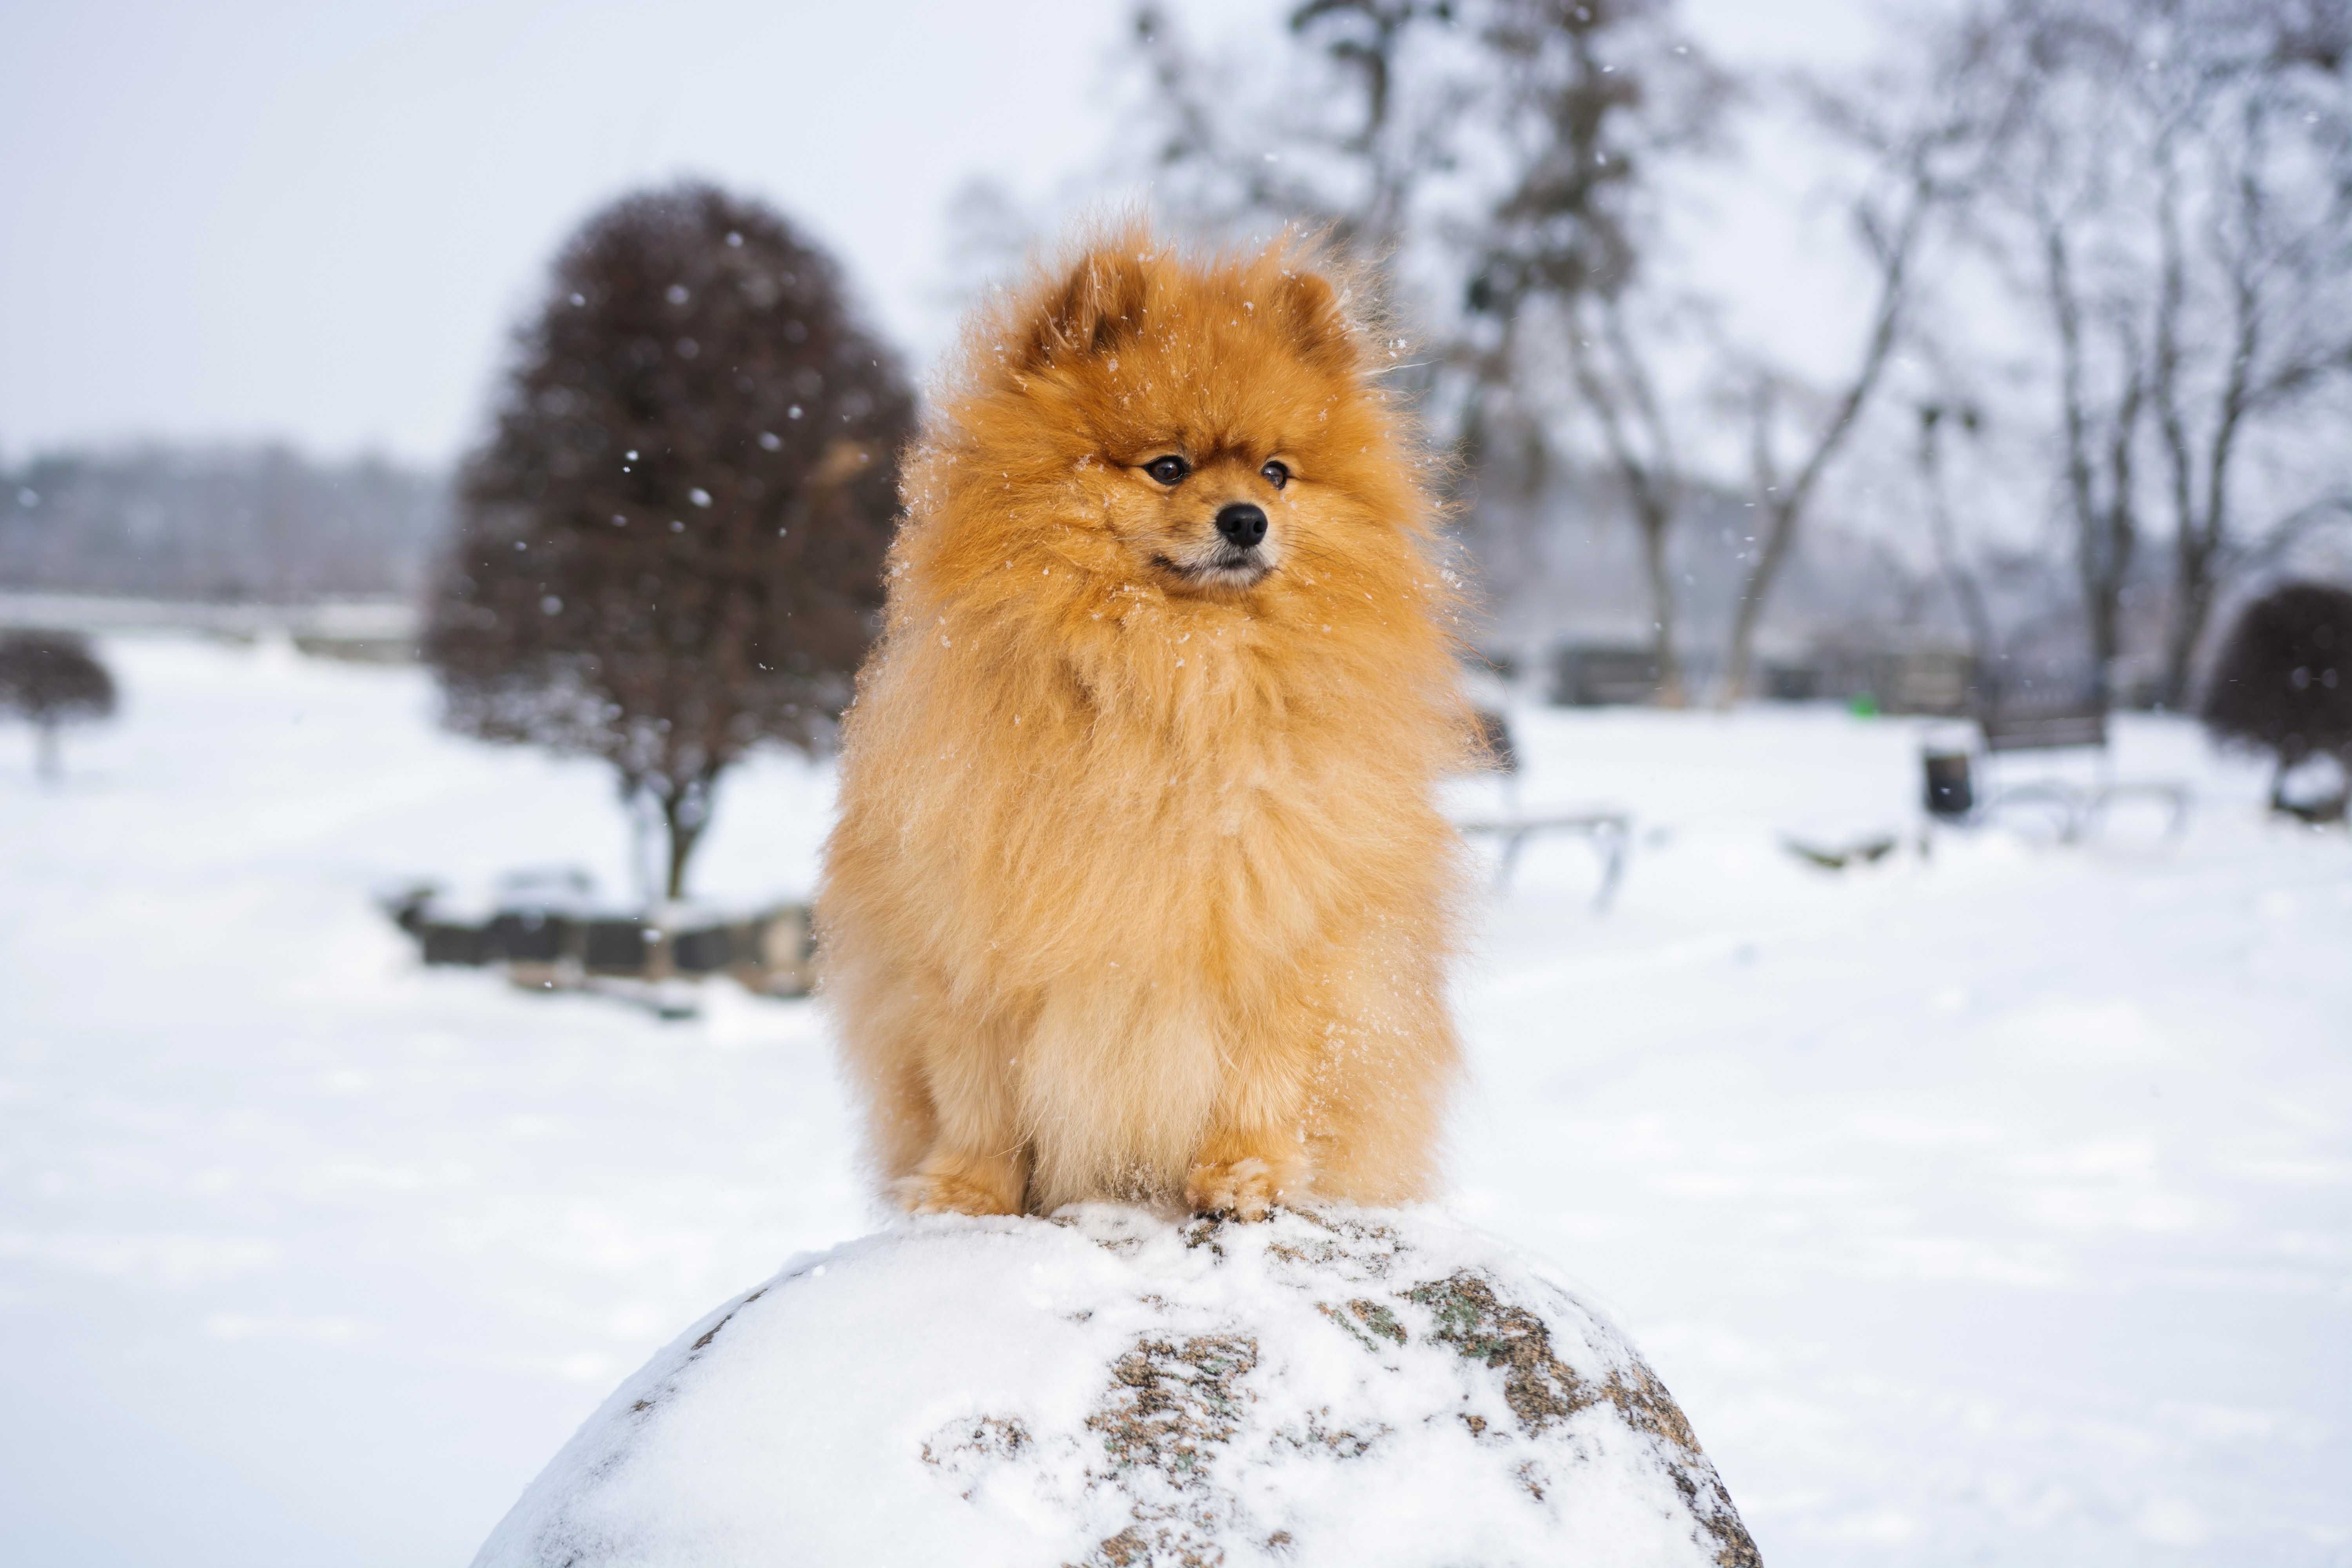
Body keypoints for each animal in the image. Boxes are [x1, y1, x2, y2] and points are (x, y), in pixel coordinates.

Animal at [818, 223, 1458, 1222]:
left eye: (1276, 472)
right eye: (1168, 466)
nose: (1248, 518)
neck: (1172, 678)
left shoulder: (1285, 921)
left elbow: (1266, 1070)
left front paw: (1244, 1172)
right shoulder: (962, 934)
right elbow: (976, 1090)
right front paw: (968, 1189)